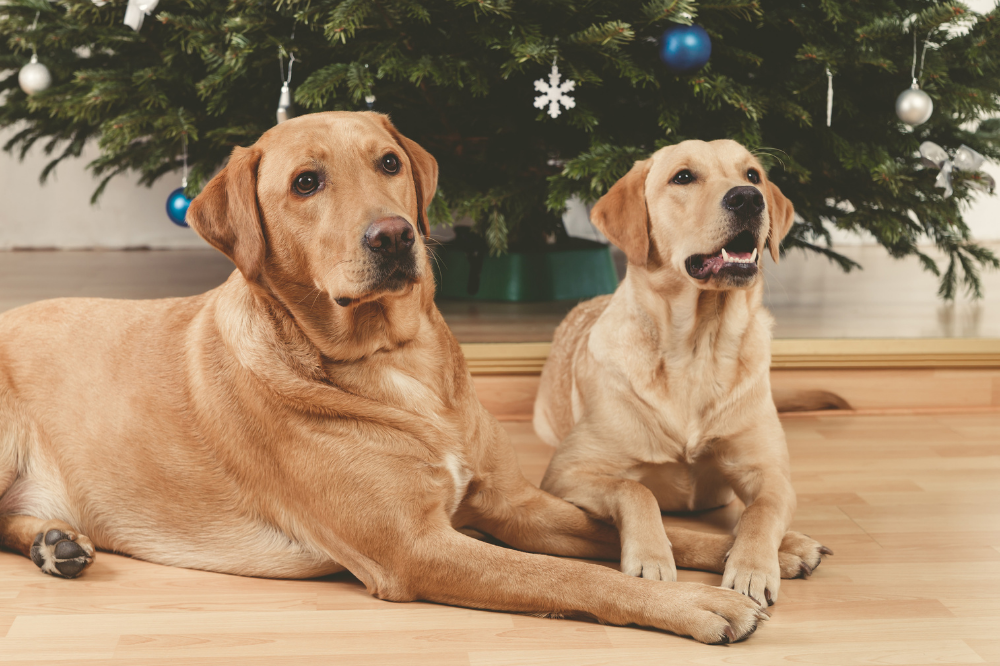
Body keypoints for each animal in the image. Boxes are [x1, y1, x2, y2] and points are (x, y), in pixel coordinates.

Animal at [0, 113, 768, 644]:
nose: (395, 234)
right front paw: (694, 601)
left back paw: (55, 542)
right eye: (306, 183)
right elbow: (571, 575)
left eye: (390, 162)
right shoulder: (414, 549)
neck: (394, 358)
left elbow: (640, 526)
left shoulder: (507, 503)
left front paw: (762, 549)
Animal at [536, 140, 832, 608]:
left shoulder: (771, 474)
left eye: (752, 175)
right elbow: (635, 490)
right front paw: (651, 558)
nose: (749, 199)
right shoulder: (566, 473)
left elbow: (760, 510)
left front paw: (752, 566)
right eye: (683, 177)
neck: (699, 347)